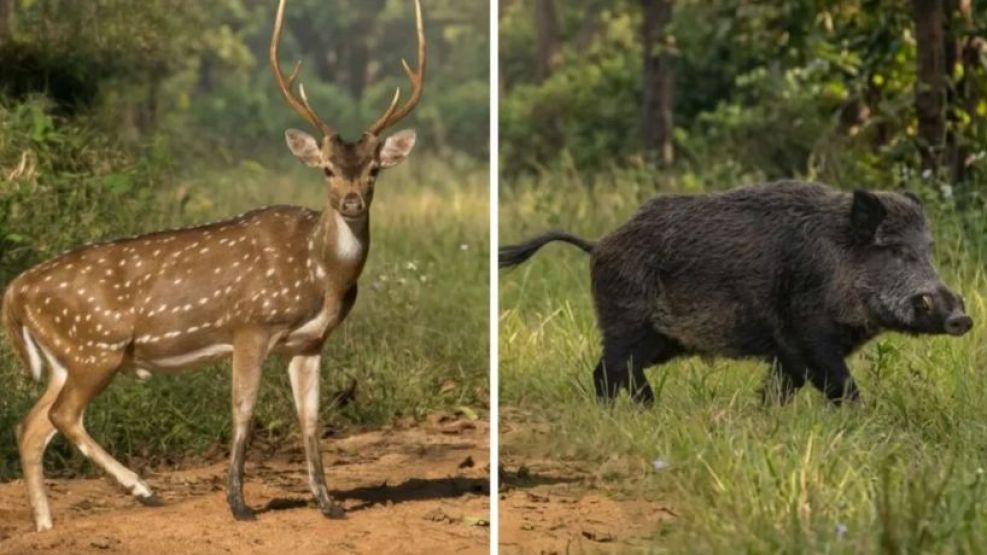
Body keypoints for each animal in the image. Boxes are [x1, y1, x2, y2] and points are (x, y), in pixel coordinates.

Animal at [1, 0, 425, 531]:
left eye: (374, 170)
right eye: (327, 168)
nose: (351, 202)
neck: (320, 273)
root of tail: (15, 290)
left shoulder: (309, 341)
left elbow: (310, 418)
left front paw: (329, 504)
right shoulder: (252, 324)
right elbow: (242, 410)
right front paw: (239, 504)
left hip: (66, 357)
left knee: (30, 425)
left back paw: (46, 526)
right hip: (97, 348)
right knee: (62, 416)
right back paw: (143, 490)